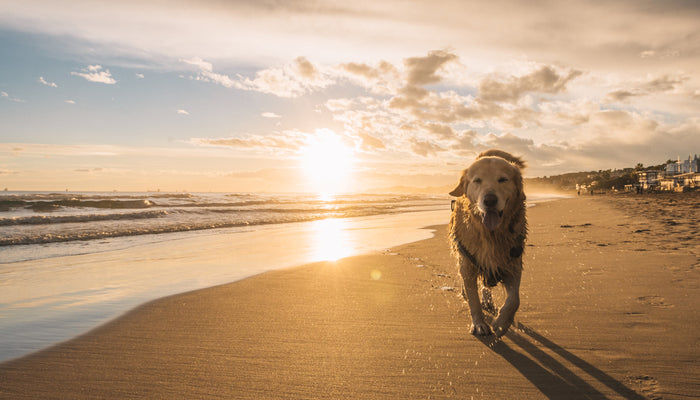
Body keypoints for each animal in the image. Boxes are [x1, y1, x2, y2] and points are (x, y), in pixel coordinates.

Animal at [448, 150, 524, 338]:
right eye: (477, 180)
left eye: (503, 179)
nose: (489, 200)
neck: (490, 234)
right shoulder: (468, 264)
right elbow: (473, 300)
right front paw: (479, 324)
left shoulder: (513, 263)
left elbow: (514, 300)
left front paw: (501, 324)